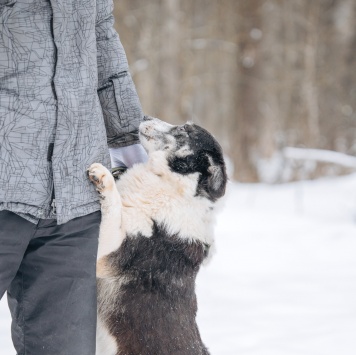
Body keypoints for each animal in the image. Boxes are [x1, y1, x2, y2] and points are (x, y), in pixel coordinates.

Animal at [87, 117, 227, 355]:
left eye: (184, 129)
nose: (144, 117)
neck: (171, 186)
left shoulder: (108, 250)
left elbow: (113, 204)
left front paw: (104, 178)